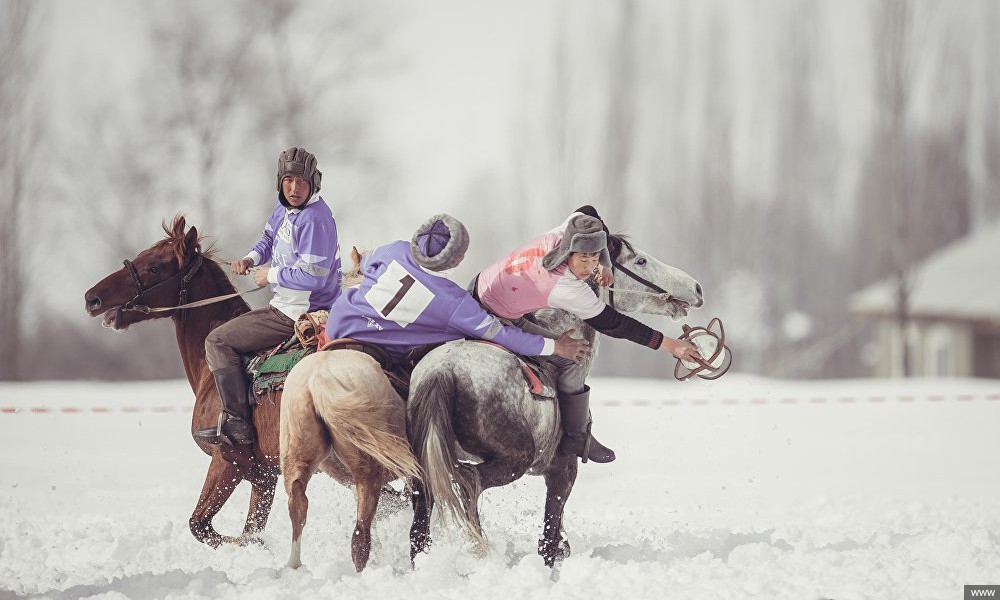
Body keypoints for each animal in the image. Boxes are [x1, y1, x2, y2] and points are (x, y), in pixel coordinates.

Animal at [83, 214, 414, 568]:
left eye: (155, 267)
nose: (92, 298)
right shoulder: (264, 475)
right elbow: (248, 527)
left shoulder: (228, 460)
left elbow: (203, 525)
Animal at [406, 236, 704, 568]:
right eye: (640, 261)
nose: (695, 288)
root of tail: (444, 370)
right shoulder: (562, 469)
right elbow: (550, 535)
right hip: (513, 460)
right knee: (469, 483)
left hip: (425, 468)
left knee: (421, 525)